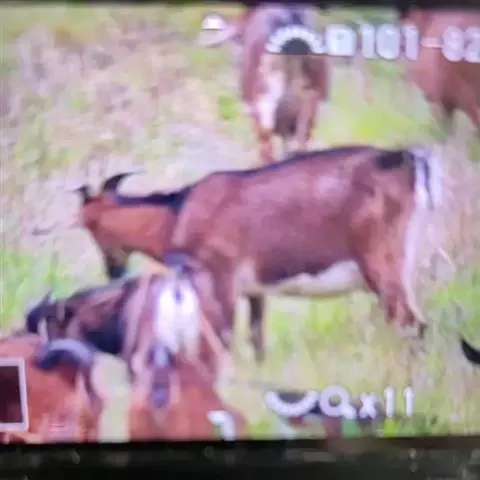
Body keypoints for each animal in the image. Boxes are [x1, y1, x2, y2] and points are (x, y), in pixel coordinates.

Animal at [154, 144, 443, 359]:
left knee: (413, 324)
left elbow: (219, 345)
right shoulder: (252, 289)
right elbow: (255, 336)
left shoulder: (220, 277)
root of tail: (409, 161)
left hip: (382, 264)